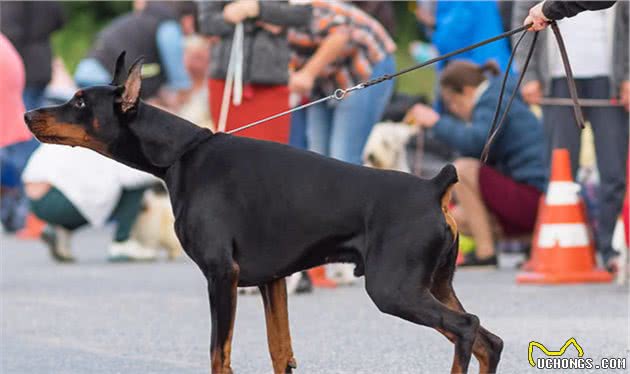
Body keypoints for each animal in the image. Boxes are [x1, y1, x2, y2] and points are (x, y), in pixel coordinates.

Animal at [24, 53, 506, 374]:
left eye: (80, 103)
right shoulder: (273, 281)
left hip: (394, 288)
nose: (28, 114)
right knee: (491, 341)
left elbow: (219, 354)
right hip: (434, 284)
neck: (180, 155)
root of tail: (433, 185)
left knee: (467, 328)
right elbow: (280, 351)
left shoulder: (222, 274)